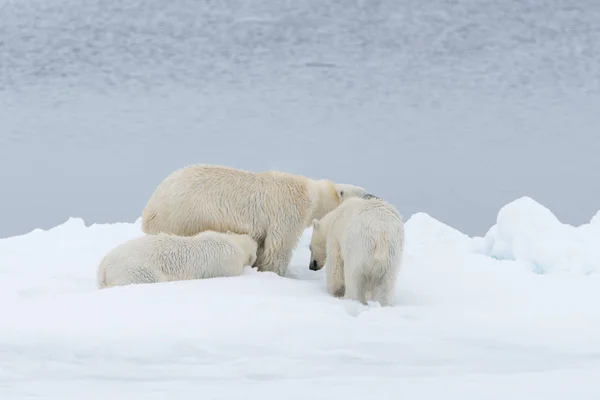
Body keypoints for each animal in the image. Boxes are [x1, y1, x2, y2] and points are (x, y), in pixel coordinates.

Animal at [141, 164, 366, 276]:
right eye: (364, 193)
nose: (373, 194)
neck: (311, 194)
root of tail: (150, 208)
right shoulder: (287, 210)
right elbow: (277, 248)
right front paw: (274, 273)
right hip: (186, 216)